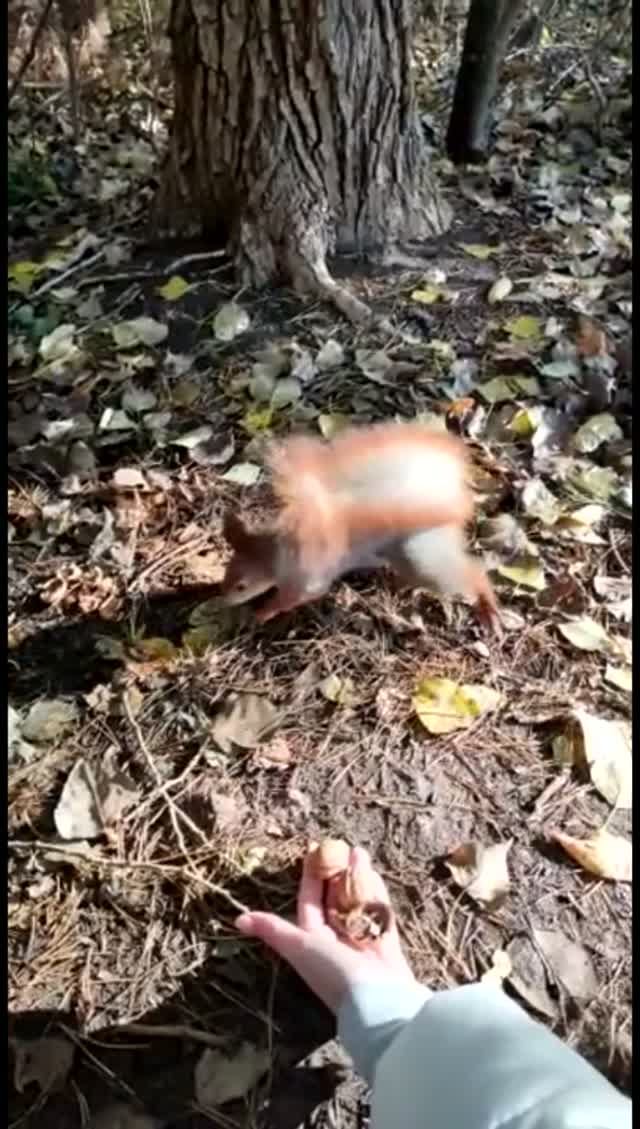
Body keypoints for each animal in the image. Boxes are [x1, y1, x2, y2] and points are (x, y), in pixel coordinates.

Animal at [220, 422, 500, 631]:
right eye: (225, 572)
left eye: (242, 586)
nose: (225, 600)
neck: (274, 554)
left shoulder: (305, 579)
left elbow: (293, 599)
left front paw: (262, 613)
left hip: (422, 557)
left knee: (472, 573)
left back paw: (489, 609)